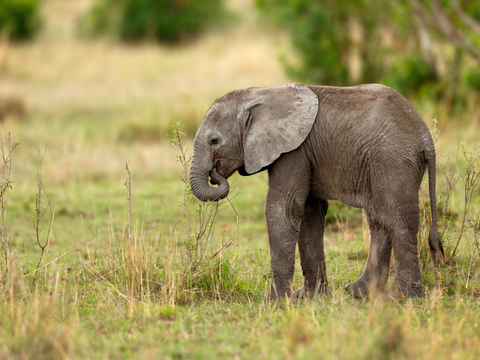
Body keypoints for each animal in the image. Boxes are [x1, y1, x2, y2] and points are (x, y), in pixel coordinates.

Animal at [188, 83, 442, 300]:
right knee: (380, 218)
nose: (215, 174)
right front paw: (312, 298)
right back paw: (359, 292)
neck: (259, 93)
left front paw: (276, 301)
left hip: (394, 160)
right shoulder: (303, 153)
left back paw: (399, 298)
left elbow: (283, 210)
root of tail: (425, 136)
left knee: (398, 219)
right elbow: (309, 214)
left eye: (214, 141)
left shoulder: (293, 151)